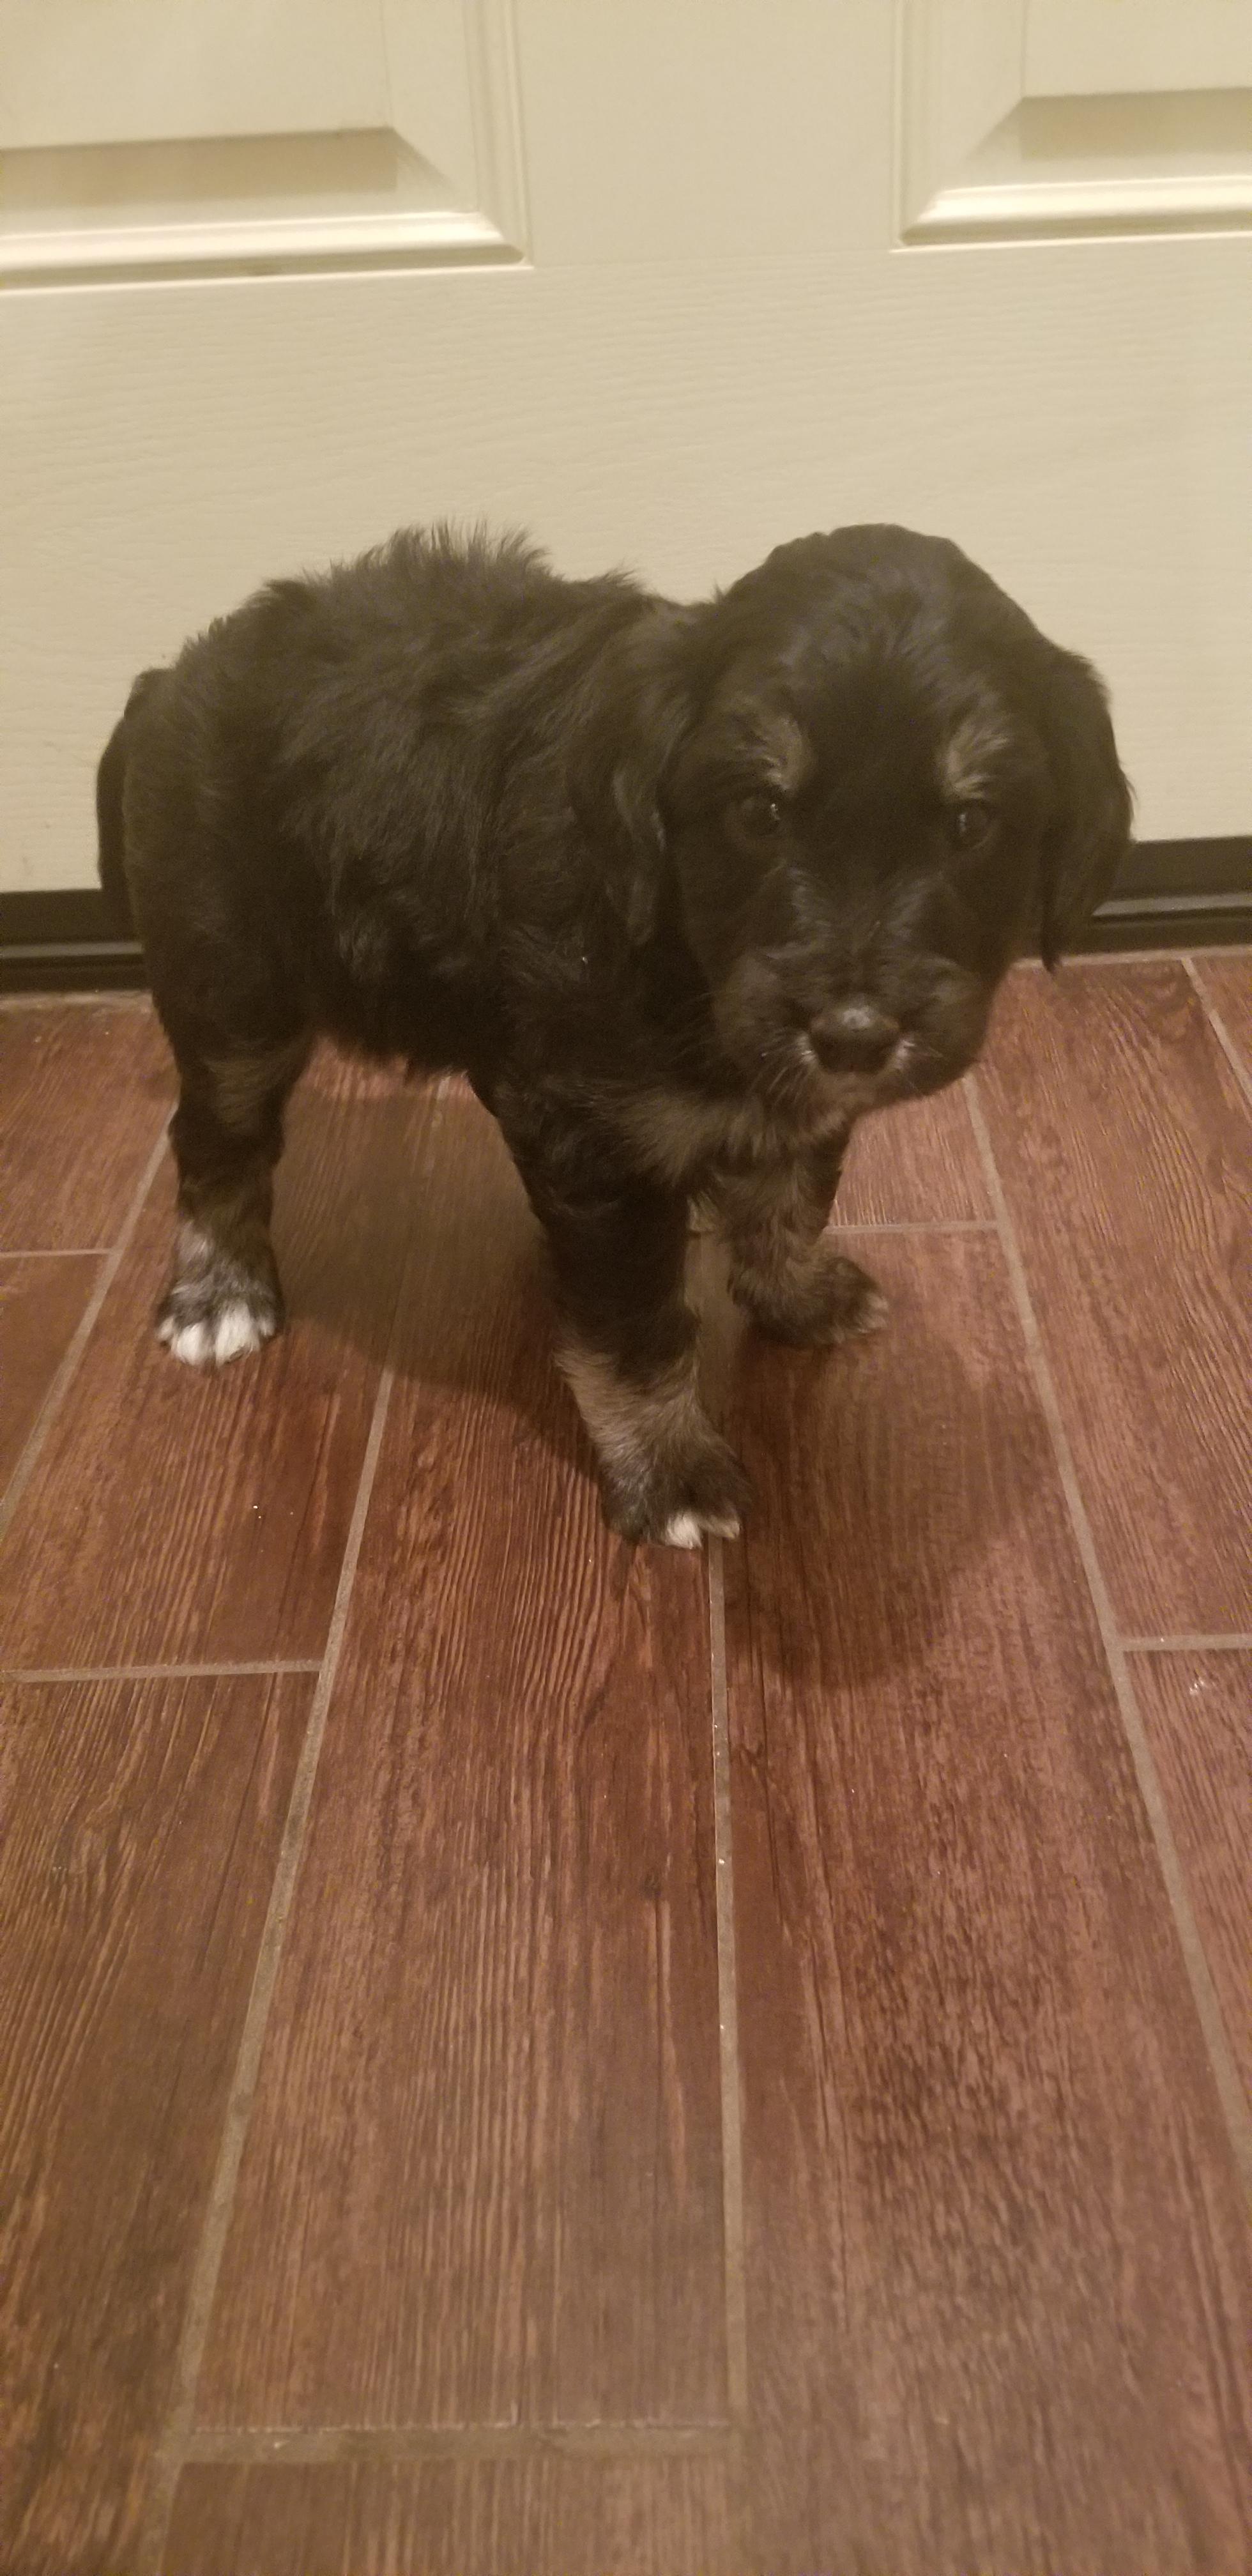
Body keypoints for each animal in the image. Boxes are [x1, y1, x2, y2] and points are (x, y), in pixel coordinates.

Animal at [97, 522, 1132, 1546]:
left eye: (971, 822)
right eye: (759, 812)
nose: (854, 1034)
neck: (680, 943)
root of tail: (166, 680)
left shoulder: (762, 1089)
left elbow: (791, 1192)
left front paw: (795, 1292)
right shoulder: (595, 1133)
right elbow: (635, 1324)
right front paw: (671, 1471)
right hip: (232, 992)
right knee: (218, 1139)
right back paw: (220, 1293)